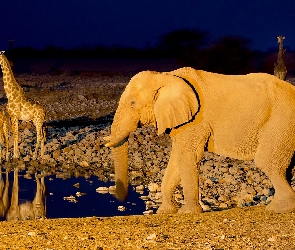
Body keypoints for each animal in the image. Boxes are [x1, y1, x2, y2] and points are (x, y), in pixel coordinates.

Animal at [104, 67, 295, 214]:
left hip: (281, 121)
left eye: (132, 103)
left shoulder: (195, 120)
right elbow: (176, 159)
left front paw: (187, 213)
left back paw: (279, 208)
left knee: (267, 162)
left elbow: (187, 156)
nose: (119, 197)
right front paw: (165, 212)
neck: (166, 76)